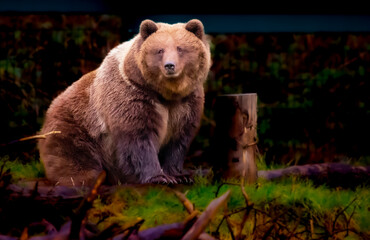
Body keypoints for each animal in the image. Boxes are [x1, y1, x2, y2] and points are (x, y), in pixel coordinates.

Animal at [38, 19, 211, 187]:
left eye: (180, 48)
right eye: (160, 50)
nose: (169, 66)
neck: (166, 94)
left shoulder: (187, 103)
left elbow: (179, 139)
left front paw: (180, 176)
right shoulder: (133, 95)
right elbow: (138, 137)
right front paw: (159, 177)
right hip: (76, 129)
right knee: (75, 160)